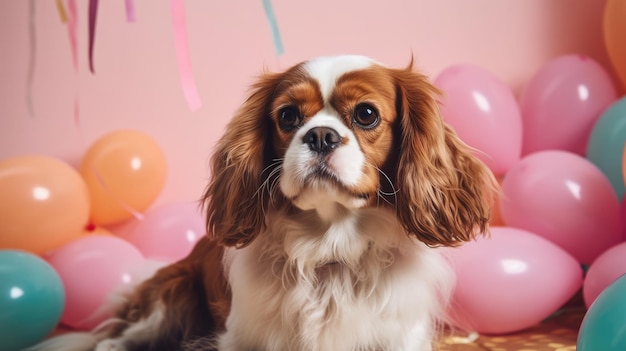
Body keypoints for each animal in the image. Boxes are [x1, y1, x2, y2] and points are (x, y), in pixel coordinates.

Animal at [33, 55, 492, 351]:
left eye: (366, 114)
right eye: (288, 116)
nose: (320, 135)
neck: (330, 249)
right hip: (168, 298)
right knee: (112, 341)